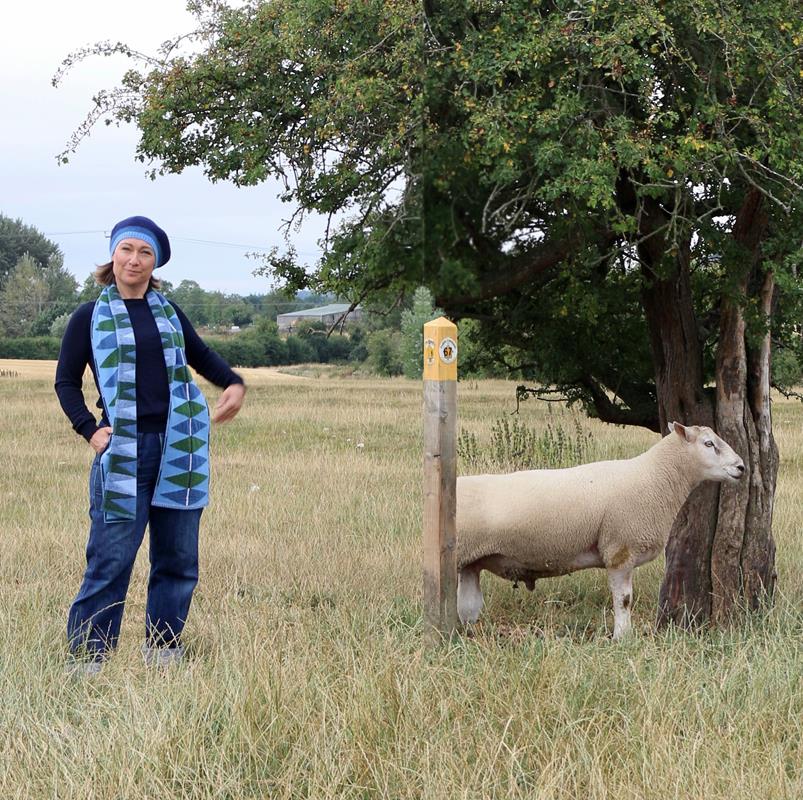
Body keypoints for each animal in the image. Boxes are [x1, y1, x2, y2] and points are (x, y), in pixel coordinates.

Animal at [458, 422, 748, 640]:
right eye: (708, 444)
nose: (741, 467)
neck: (655, 478)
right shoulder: (620, 549)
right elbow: (624, 600)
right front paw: (622, 638)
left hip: (471, 562)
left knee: (468, 607)